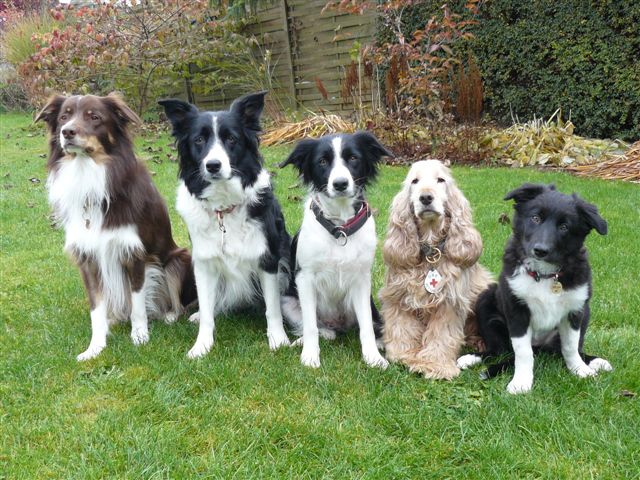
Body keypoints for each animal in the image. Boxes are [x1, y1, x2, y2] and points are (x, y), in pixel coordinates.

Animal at [36, 93, 197, 361]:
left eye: (94, 117)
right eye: (64, 117)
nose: (67, 132)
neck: (88, 175)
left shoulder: (134, 253)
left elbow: (138, 303)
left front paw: (140, 336)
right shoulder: (88, 259)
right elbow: (96, 309)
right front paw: (95, 346)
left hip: (177, 259)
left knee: (177, 301)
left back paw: (170, 315)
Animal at [159, 92, 294, 358]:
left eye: (231, 138)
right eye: (199, 139)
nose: (213, 165)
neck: (223, 207)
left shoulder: (268, 259)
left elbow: (272, 307)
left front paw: (278, 339)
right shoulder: (204, 262)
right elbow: (207, 312)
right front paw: (202, 345)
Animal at [279, 132, 392, 368]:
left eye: (353, 158)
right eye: (322, 161)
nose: (340, 184)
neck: (340, 229)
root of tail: (337, 325)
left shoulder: (361, 281)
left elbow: (366, 326)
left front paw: (372, 357)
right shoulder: (305, 279)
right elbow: (310, 325)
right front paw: (310, 355)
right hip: (287, 301)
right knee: (318, 328)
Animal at [379, 160, 492, 379]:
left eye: (441, 180)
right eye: (414, 181)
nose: (425, 197)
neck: (430, 249)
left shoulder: (449, 301)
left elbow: (442, 334)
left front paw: (435, 364)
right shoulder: (399, 296)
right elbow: (401, 328)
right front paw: (405, 355)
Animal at [457, 183, 612, 394]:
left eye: (564, 227)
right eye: (536, 218)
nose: (540, 250)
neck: (544, 275)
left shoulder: (575, 310)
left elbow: (570, 347)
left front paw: (579, 370)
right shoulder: (517, 310)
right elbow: (523, 352)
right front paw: (521, 381)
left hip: (585, 312)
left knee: (566, 349)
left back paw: (593, 361)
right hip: (486, 299)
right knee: (498, 350)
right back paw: (472, 358)